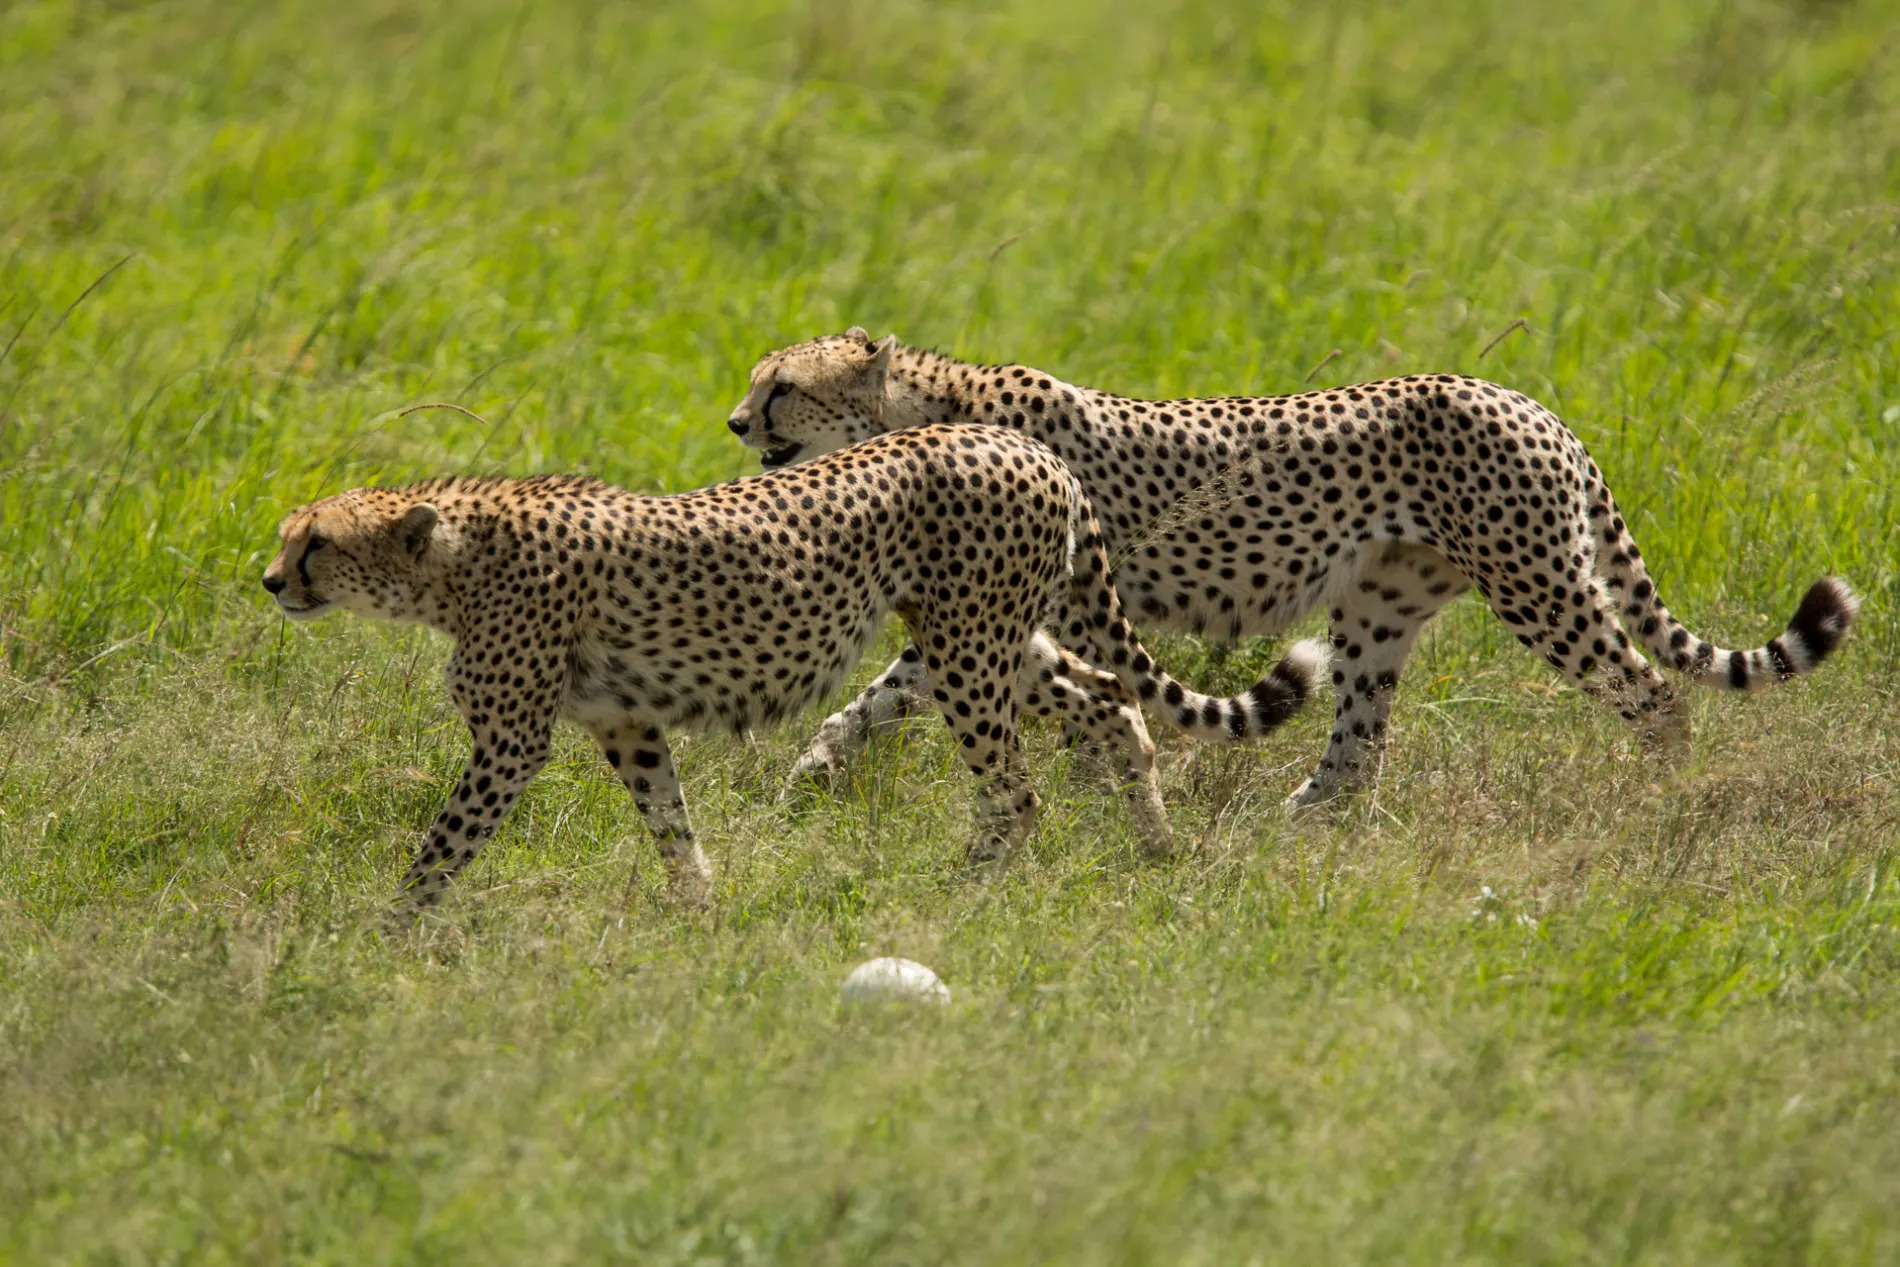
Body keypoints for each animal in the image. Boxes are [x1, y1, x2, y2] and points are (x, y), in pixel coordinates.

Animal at [260, 429, 1322, 911]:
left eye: (316, 543)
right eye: (287, 535)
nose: (269, 580)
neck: (449, 563)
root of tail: (1015, 438)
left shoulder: (512, 740)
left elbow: (443, 843)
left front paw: (390, 928)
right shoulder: (626, 720)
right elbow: (669, 820)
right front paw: (702, 910)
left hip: (967, 647)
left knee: (1017, 789)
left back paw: (958, 889)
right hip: (991, 637)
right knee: (1111, 702)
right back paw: (1154, 844)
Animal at [725, 326, 1854, 801]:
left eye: (781, 387)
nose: (735, 421)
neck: (915, 408)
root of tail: (1531, 404)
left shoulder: (1046, 608)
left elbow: (996, 702)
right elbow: (880, 696)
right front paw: (812, 772)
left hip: (1538, 586)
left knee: (1653, 695)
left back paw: (1658, 806)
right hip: (1375, 611)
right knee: (1358, 746)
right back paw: (1298, 829)